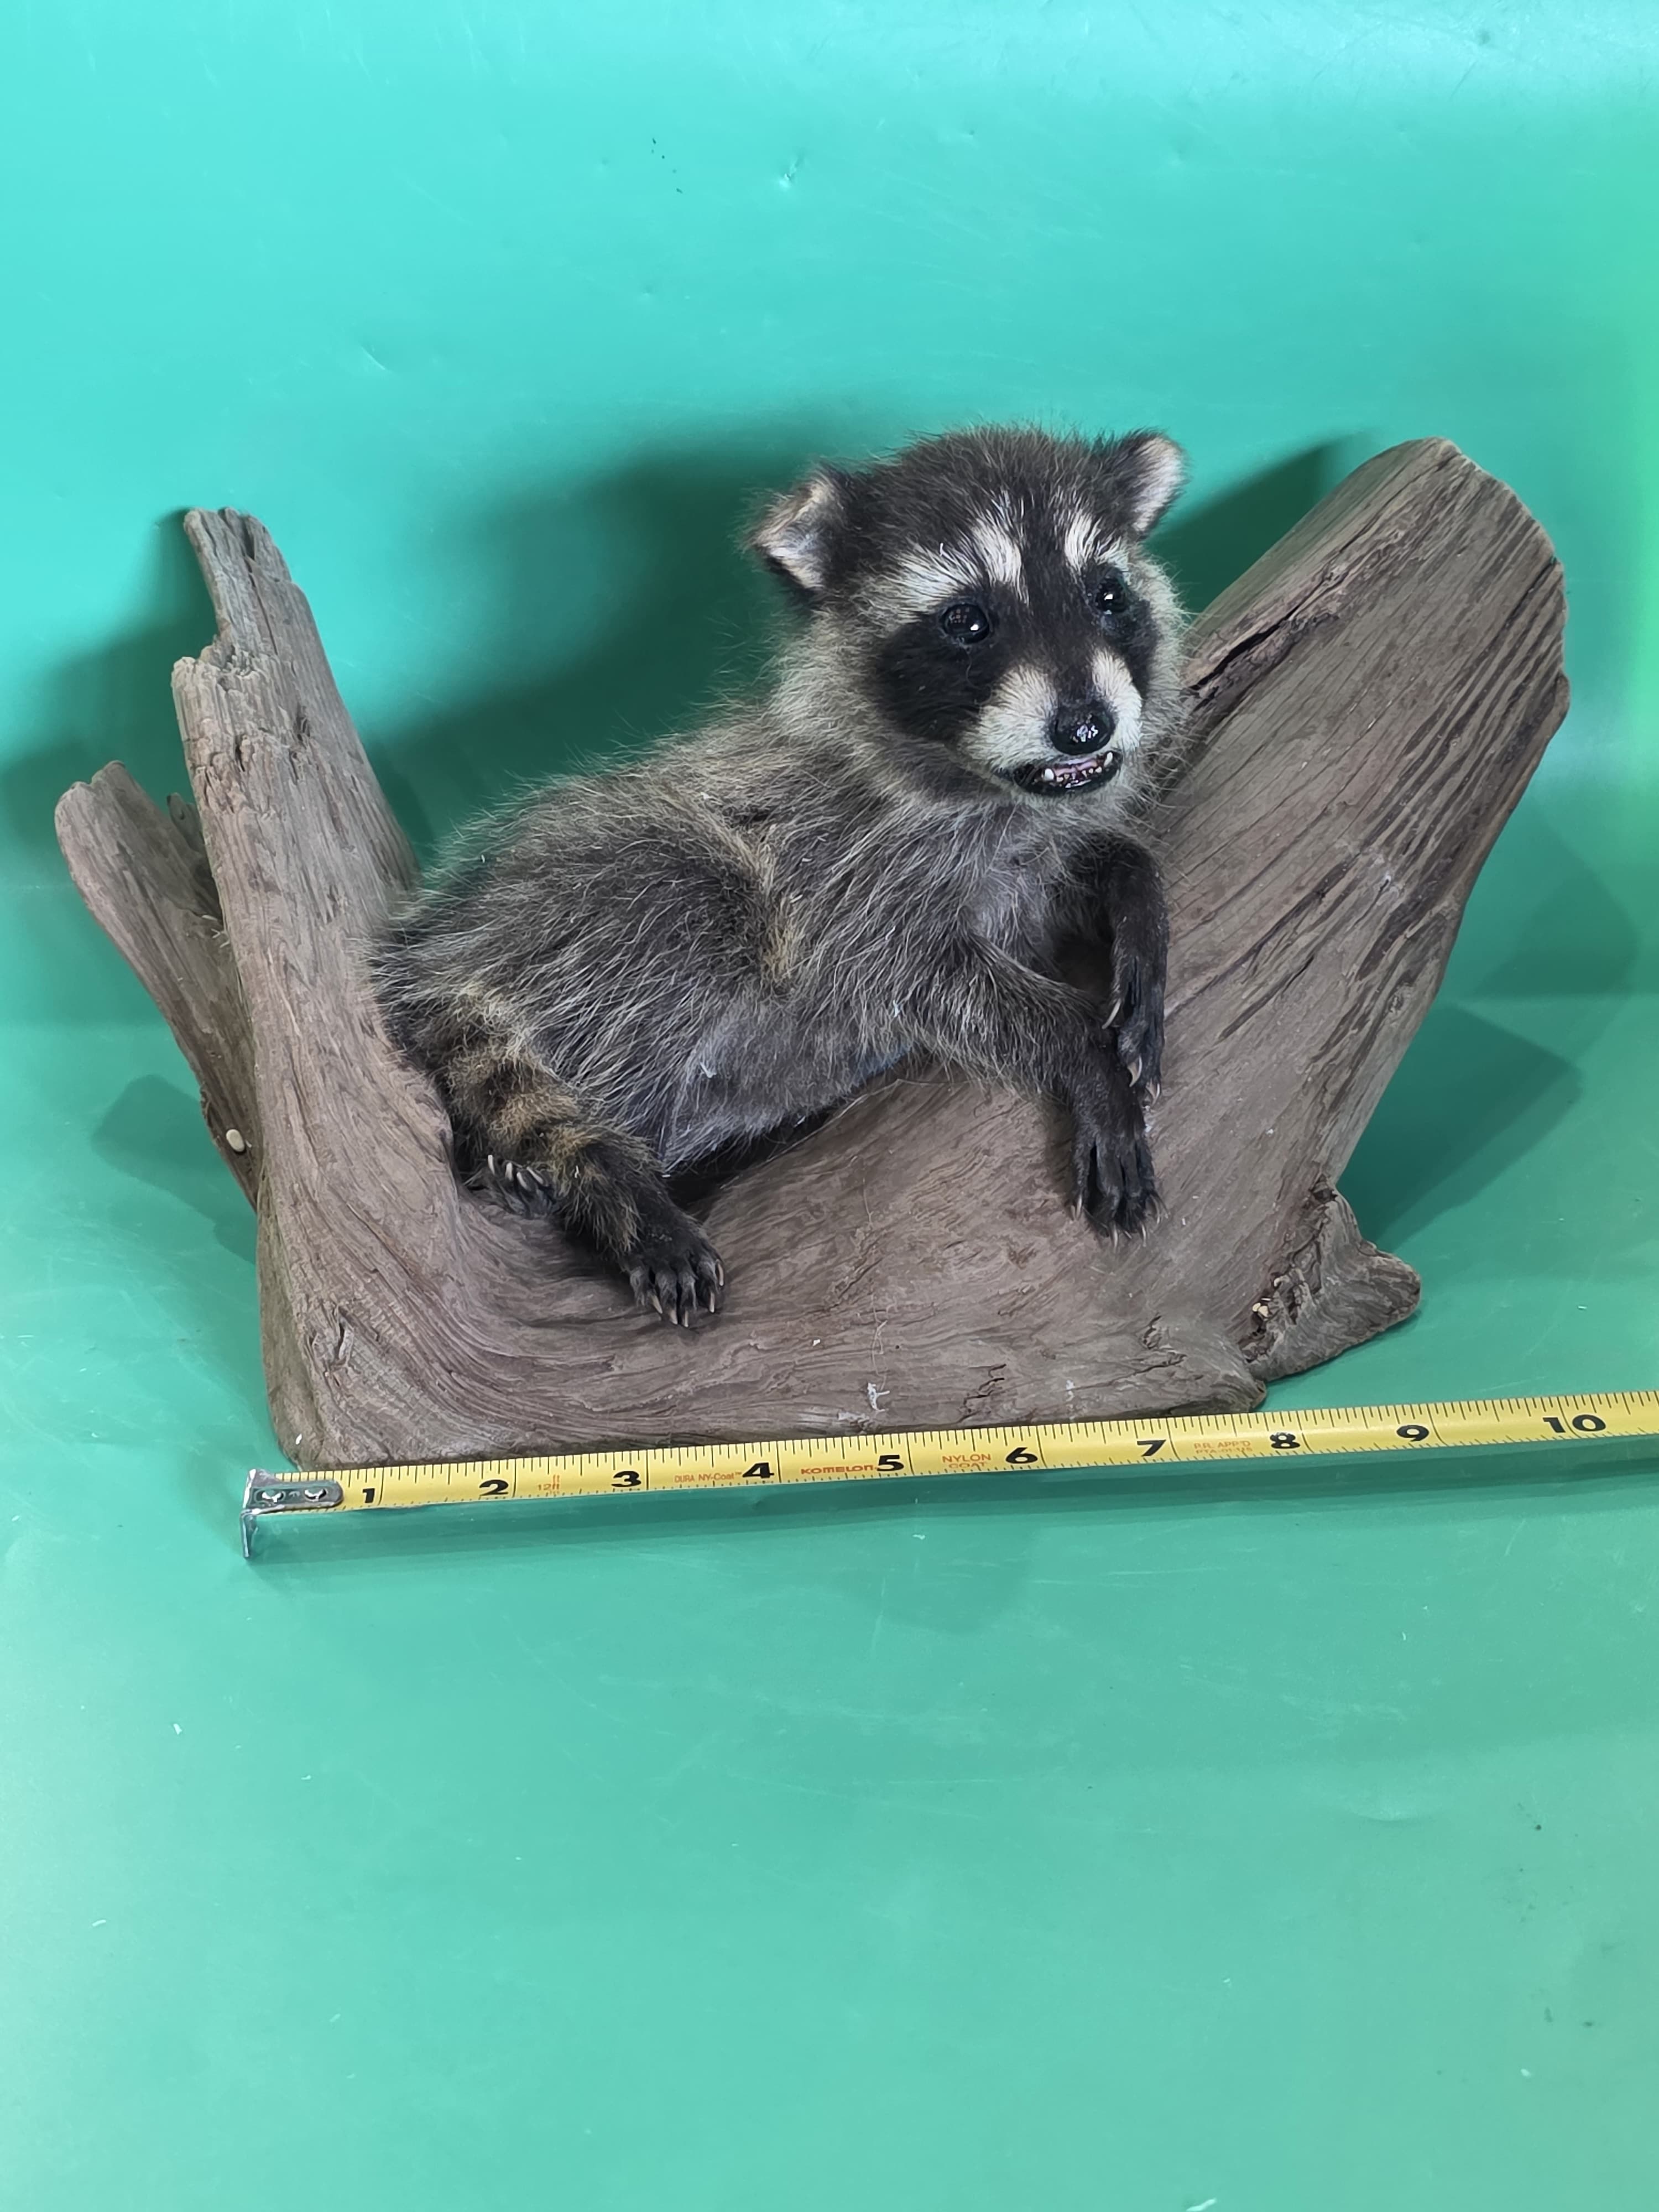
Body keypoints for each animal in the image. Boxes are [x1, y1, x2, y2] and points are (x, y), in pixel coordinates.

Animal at [377, 425, 1190, 1324]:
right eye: (969, 621)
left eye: (1108, 595)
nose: (1086, 729)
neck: (980, 781)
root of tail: (442, 948)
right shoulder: (837, 873)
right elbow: (912, 974)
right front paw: (1078, 1045)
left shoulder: (1025, 849)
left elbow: (1085, 869)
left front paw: (1136, 905)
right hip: (603, 888)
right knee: (681, 909)